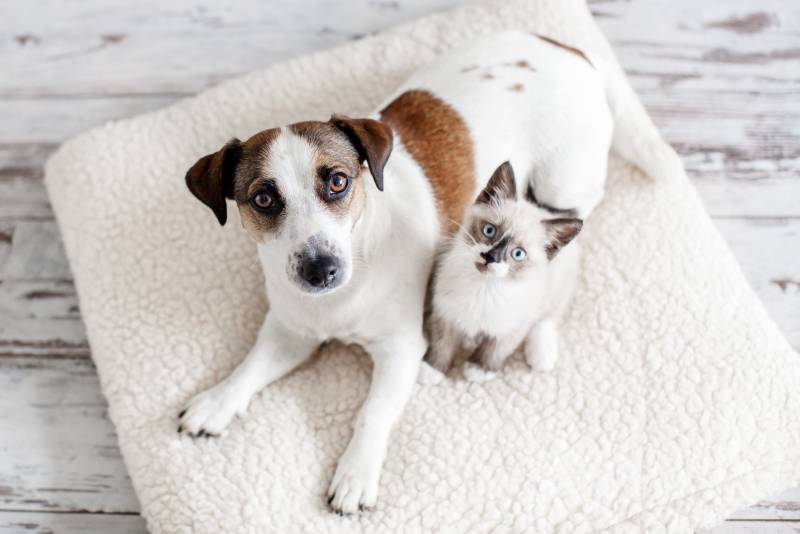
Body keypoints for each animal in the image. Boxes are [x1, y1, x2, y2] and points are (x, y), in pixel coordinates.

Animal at [418, 163, 580, 386]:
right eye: (489, 230)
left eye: (518, 254)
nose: (490, 257)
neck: (484, 287)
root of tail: (544, 210)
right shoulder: (446, 313)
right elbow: (442, 343)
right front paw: (432, 368)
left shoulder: (513, 326)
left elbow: (495, 350)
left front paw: (479, 369)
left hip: (556, 289)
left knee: (548, 318)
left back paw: (541, 356)